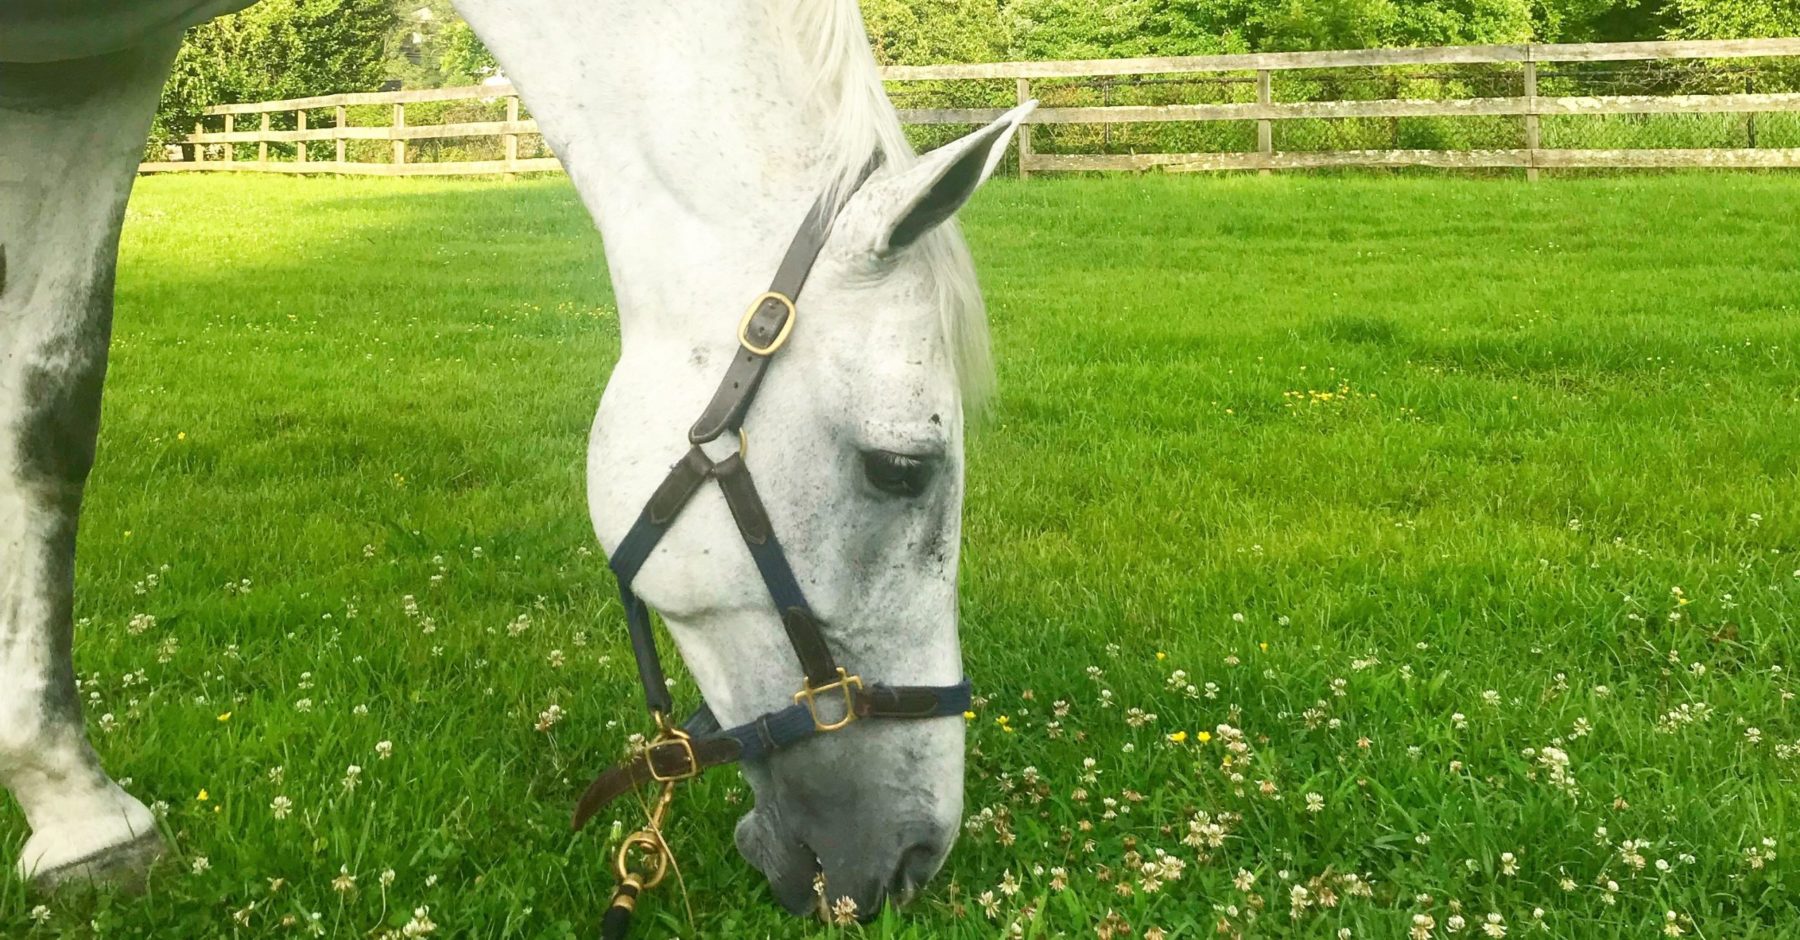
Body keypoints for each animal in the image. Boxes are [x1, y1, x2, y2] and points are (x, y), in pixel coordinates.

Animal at [0, 0, 1030, 920]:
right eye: (899, 469)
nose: (914, 858)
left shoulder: (92, 72)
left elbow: (49, 404)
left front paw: (75, 812)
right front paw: (78, 811)